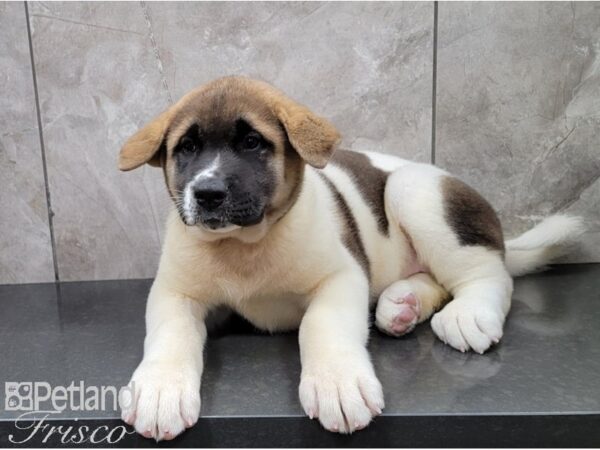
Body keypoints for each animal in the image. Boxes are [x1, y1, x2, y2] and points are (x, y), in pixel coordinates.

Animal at [116, 74, 580, 440]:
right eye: (186, 148)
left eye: (251, 143)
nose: (207, 193)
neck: (245, 246)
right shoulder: (175, 292)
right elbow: (170, 333)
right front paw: (159, 388)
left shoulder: (341, 277)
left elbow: (322, 325)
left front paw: (336, 383)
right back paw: (403, 305)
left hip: (416, 192)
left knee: (489, 276)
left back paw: (467, 313)